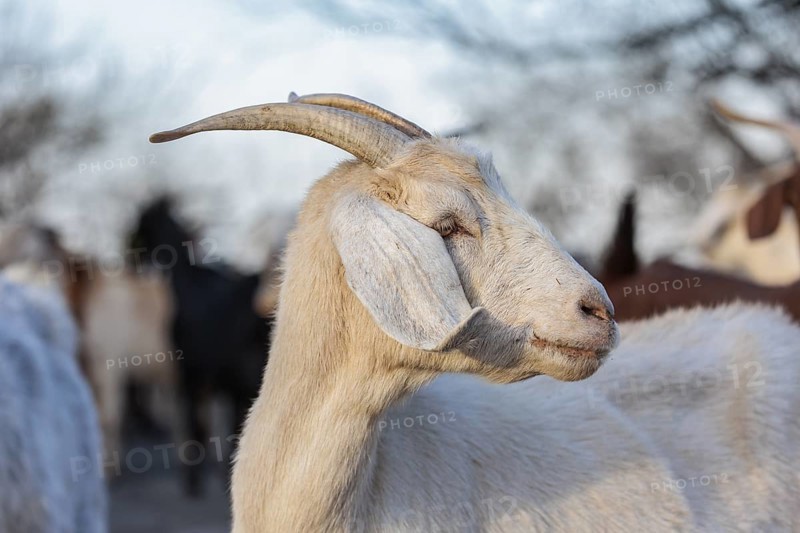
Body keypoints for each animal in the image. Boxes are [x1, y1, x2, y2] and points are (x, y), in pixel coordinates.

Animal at [130, 197, 271, 496]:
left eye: (141, 220)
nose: (129, 254)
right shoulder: (212, 382)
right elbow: (205, 427)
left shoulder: (189, 374)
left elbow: (194, 423)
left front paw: (193, 480)